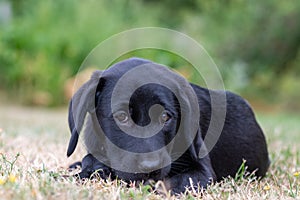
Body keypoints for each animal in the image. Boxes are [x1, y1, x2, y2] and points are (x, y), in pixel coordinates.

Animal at [66, 57, 270, 194]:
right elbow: (90, 161)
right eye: (122, 116)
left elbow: (173, 183)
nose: (151, 168)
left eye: (165, 116)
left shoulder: (202, 171)